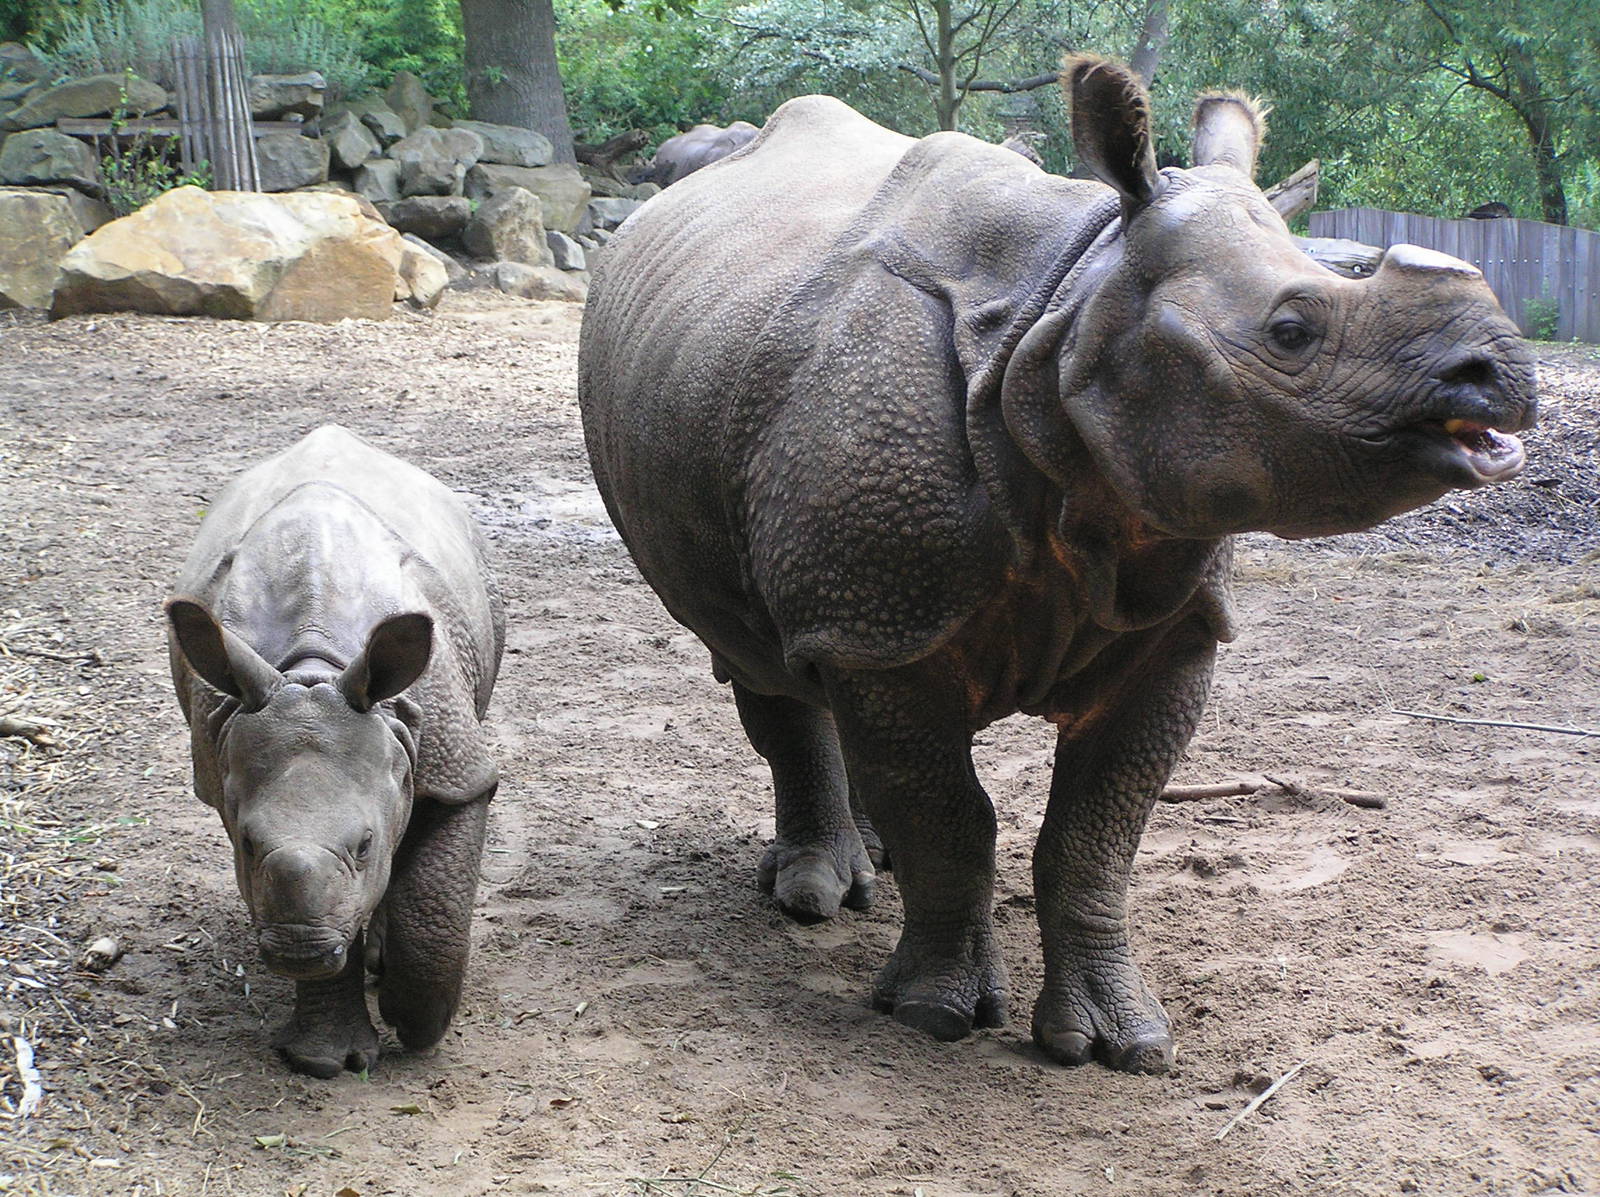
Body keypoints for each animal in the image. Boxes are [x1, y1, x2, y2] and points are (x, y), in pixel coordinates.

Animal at [166, 425, 504, 1077]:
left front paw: (412, 1020)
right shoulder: (223, 761)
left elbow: (436, 903)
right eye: (247, 844)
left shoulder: (455, 764)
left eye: (365, 844)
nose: (300, 951)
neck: (313, 672)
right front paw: (325, 1062)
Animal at [577, 58, 1535, 1073]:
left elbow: (1093, 833)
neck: (1072, 306)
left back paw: (875, 862)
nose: (1502, 372)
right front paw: (935, 1015)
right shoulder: (886, 610)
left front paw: (1122, 1041)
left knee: (818, 660)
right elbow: (953, 815)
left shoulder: (1171, 617)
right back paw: (818, 892)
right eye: (1290, 331)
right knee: (754, 647)